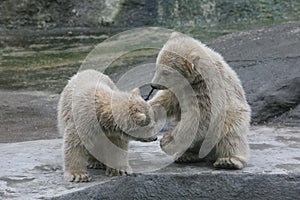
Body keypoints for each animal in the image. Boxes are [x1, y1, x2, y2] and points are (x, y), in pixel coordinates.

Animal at [149, 32, 251, 170]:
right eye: (157, 67)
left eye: (166, 72)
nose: (153, 85)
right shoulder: (180, 88)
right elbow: (167, 100)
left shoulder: (208, 89)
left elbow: (200, 116)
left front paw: (166, 141)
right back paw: (186, 155)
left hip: (233, 116)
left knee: (230, 134)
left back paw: (229, 160)